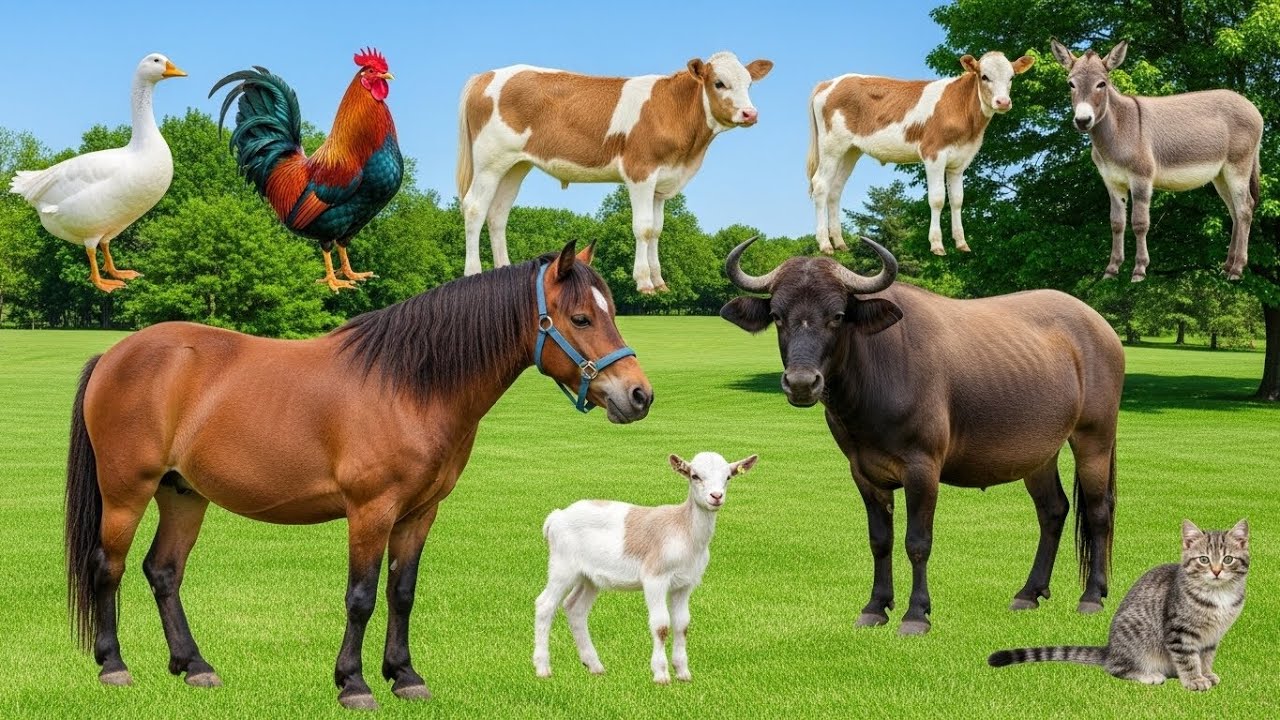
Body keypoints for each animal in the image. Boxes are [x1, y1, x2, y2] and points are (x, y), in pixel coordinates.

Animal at [457, 52, 773, 293]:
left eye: (749, 83)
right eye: (719, 83)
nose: (750, 114)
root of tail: (486, 75)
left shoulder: (662, 182)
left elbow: (657, 230)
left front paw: (660, 283)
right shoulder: (640, 171)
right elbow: (642, 227)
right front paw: (644, 283)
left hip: (515, 165)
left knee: (498, 213)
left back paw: (504, 272)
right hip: (489, 161)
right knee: (474, 208)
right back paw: (473, 273)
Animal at [533, 451, 759, 683]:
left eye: (728, 477)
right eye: (694, 475)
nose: (716, 496)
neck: (684, 531)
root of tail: (555, 517)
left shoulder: (685, 583)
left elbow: (682, 624)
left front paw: (683, 673)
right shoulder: (654, 577)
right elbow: (661, 625)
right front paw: (661, 675)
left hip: (589, 576)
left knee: (575, 607)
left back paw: (594, 665)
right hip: (562, 565)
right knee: (545, 604)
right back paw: (542, 668)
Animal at [719, 237, 1124, 635]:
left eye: (837, 316)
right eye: (777, 316)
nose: (802, 383)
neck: (874, 376)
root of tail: (1101, 328)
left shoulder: (923, 468)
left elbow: (917, 542)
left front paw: (916, 614)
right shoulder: (863, 472)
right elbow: (880, 540)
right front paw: (875, 607)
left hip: (1094, 438)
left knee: (1099, 510)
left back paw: (1092, 596)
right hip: (1039, 453)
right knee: (1053, 511)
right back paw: (1030, 592)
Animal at [807, 52, 1034, 256]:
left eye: (1011, 77)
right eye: (984, 76)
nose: (1003, 102)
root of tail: (829, 83)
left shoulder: (960, 161)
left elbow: (957, 199)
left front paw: (962, 243)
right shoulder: (933, 154)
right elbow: (937, 199)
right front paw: (937, 245)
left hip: (850, 150)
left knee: (835, 189)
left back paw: (840, 243)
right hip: (831, 146)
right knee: (820, 185)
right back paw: (825, 244)